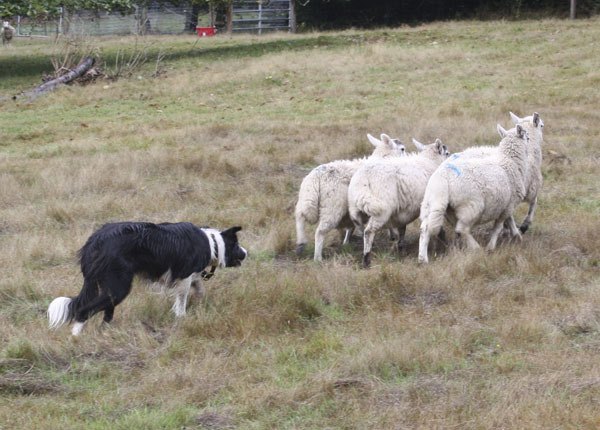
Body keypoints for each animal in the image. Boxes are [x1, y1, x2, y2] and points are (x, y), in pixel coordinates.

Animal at [47, 222, 246, 336]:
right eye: (236, 245)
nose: (246, 253)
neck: (211, 243)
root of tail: (94, 242)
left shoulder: (190, 278)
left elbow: (199, 290)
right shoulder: (184, 277)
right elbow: (182, 299)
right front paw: (182, 317)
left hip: (111, 288)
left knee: (106, 313)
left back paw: (106, 333)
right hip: (119, 287)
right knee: (83, 310)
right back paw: (76, 337)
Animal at [294, 134, 406, 262]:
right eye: (402, 149)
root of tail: (315, 178)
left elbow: (352, 226)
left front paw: (347, 241)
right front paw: (393, 236)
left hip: (306, 198)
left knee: (300, 216)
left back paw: (300, 244)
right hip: (332, 207)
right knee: (320, 231)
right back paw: (317, 258)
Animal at [346, 138, 450, 268]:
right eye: (447, 153)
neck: (430, 161)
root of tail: (364, 178)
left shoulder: (403, 211)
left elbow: (402, 229)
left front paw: (401, 250)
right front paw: (444, 243)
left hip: (355, 210)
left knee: (360, 228)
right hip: (381, 210)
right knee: (369, 232)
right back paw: (366, 260)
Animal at [418, 124, 528, 264]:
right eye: (527, 137)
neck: (510, 161)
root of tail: (443, 178)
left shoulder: (505, 204)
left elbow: (509, 221)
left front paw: (517, 236)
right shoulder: (508, 205)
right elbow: (498, 228)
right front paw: (491, 247)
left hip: (433, 203)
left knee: (426, 227)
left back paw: (423, 258)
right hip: (471, 206)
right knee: (462, 229)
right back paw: (476, 248)